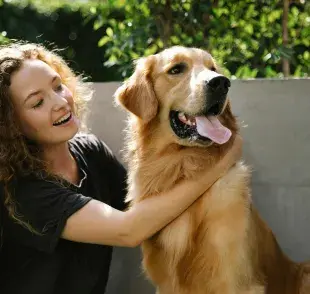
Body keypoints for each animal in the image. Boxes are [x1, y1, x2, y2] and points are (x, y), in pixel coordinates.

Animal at [114, 46, 310, 294]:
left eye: (213, 69)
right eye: (176, 69)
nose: (221, 83)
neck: (182, 165)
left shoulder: (239, 282)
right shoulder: (166, 284)